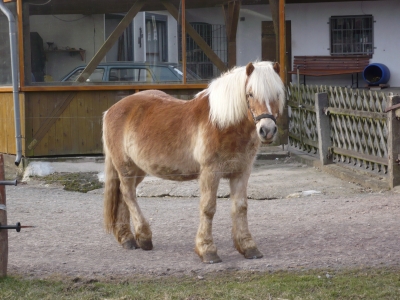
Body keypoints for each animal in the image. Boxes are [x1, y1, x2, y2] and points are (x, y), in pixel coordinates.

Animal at [102, 61, 284, 262]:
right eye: (250, 93)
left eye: (277, 94)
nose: (267, 130)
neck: (223, 123)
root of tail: (111, 110)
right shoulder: (210, 173)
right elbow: (208, 208)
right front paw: (207, 249)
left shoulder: (241, 172)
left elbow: (240, 207)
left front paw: (248, 247)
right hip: (125, 167)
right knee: (128, 195)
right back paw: (143, 237)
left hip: (138, 169)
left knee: (123, 196)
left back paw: (127, 238)